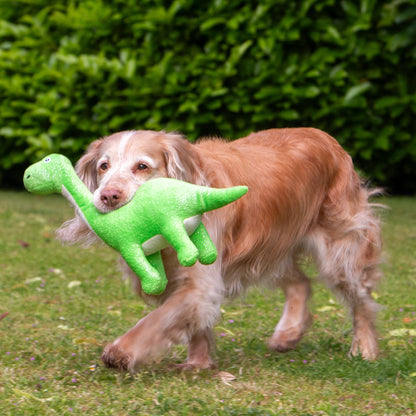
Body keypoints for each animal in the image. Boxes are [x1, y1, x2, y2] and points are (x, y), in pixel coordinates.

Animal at [57, 127, 382, 370]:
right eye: (103, 166)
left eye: (142, 167)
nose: (108, 196)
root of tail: (328, 138)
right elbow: (192, 322)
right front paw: (198, 363)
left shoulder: (199, 283)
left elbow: (155, 321)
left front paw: (122, 351)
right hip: (271, 249)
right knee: (300, 283)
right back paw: (287, 334)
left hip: (340, 252)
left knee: (362, 301)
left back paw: (364, 349)